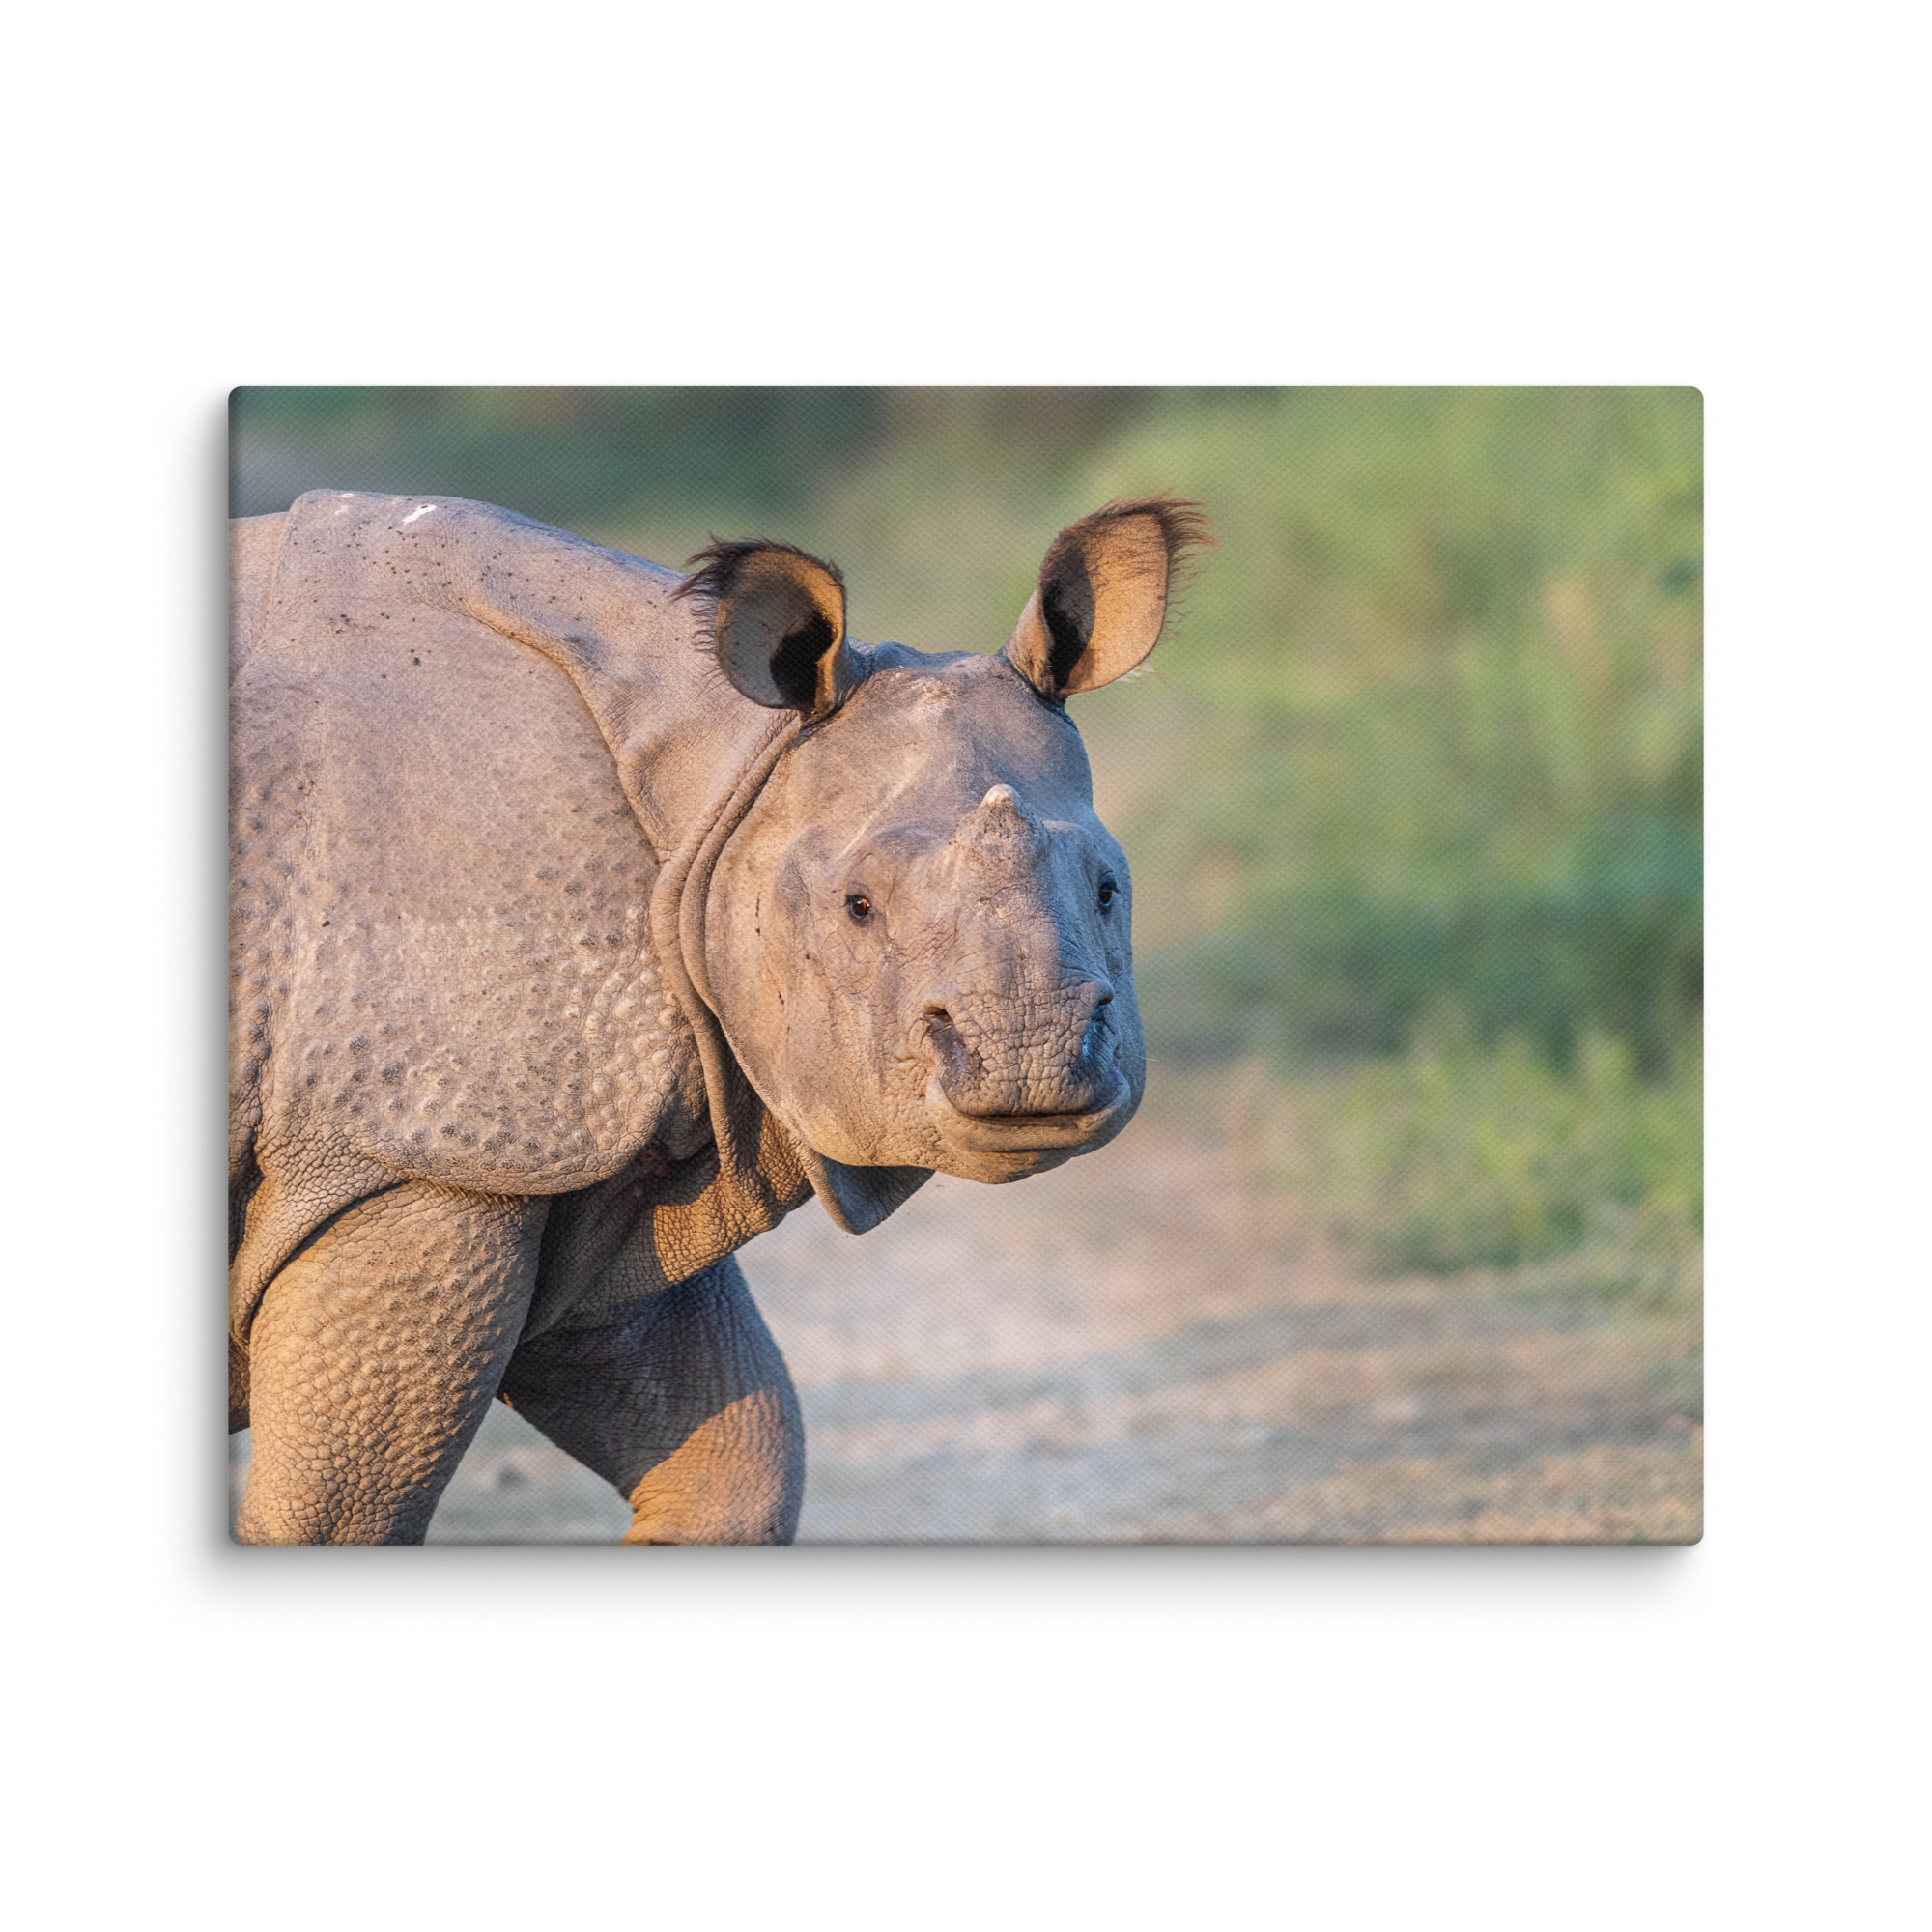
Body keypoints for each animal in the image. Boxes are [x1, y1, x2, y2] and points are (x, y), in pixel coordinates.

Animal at [229, 486, 1205, 1543]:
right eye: (856, 907)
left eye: (1107, 889)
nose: (1029, 1057)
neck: (725, 777)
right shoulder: (421, 1153)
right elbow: (338, 1519)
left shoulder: (582, 1167)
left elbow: (739, 1456)